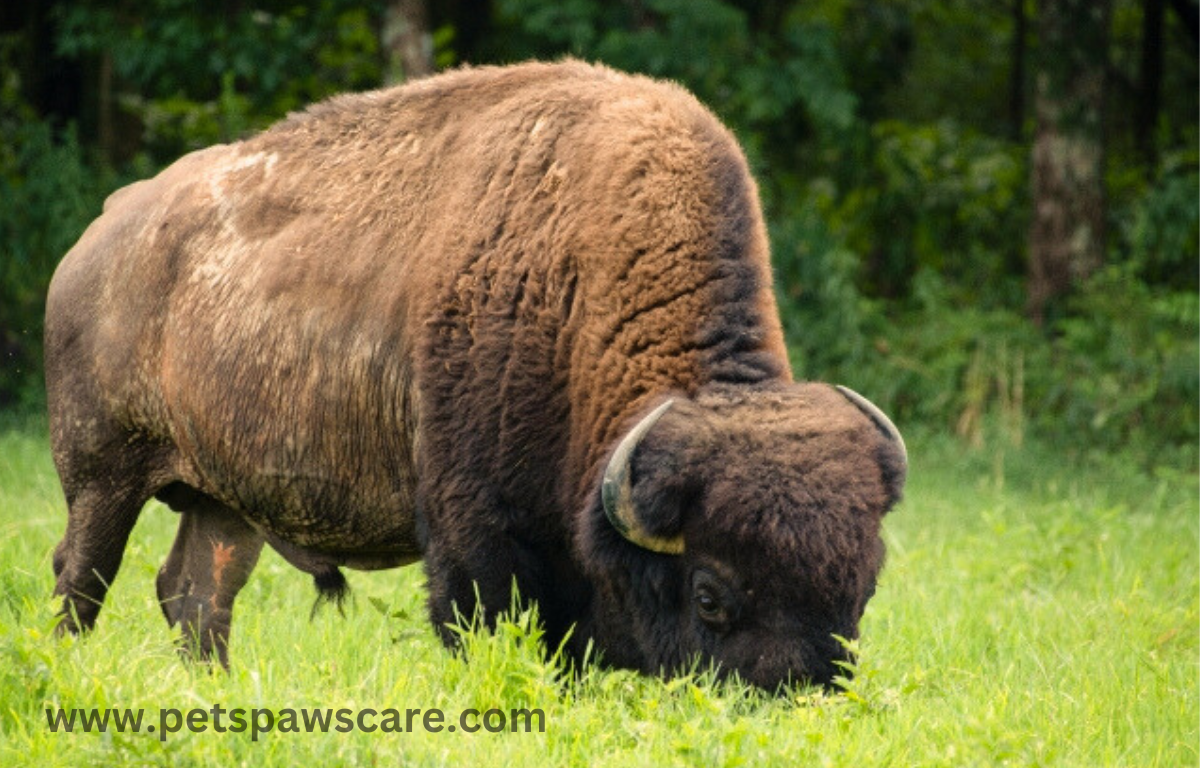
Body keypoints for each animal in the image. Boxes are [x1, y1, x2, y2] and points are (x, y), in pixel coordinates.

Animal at [49, 60, 907, 691]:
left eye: (863, 588)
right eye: (709, 595)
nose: (798, 696)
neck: (578, 283)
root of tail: (97, 237)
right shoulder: (478, 530)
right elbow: (483, 622)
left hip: (224, 503)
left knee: (196, 596)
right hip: (103, 475)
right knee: (81, 576)